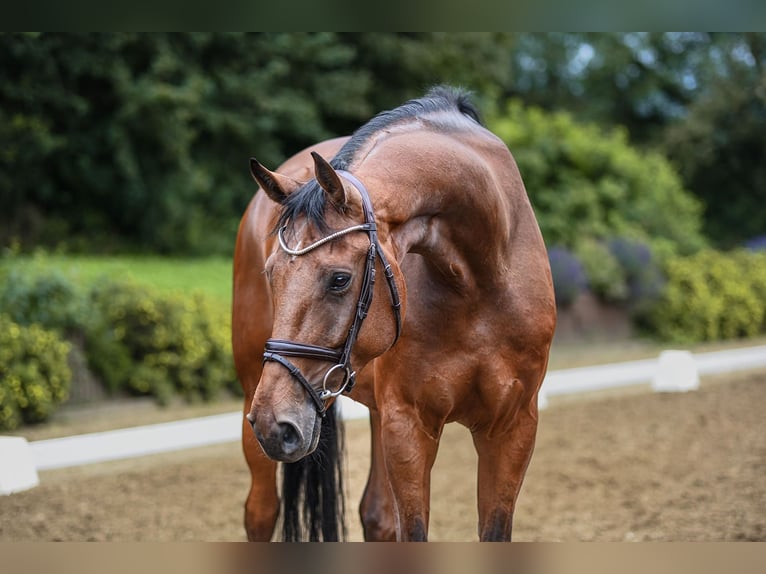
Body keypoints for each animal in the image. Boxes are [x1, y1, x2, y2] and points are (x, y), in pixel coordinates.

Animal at [232, 86, 560, 544]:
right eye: (270, 274)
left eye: (339, 279)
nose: (272, 424)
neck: (481, 279)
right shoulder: (408, 426)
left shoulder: (513, 428)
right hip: (254, 391)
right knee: (261, 512)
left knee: (376, 517)